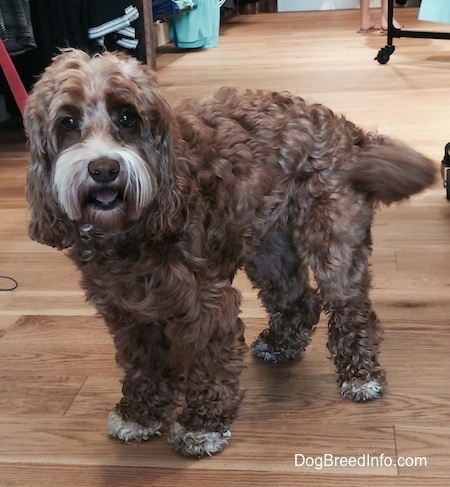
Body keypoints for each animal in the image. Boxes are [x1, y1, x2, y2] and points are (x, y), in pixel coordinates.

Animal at [23, 48, 436, 458]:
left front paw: (202, 426)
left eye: (127, 117)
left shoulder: (205, 304)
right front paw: (140, 414)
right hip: (268, 245)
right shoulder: (126, 311)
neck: (130, 232)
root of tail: (342, 126)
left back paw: (361, 374)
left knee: (351, 306)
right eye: (68, 122)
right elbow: (143, 366)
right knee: (298, 298)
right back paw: (282, 344)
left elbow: (208, 364)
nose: (104, 169)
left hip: (332, 239)